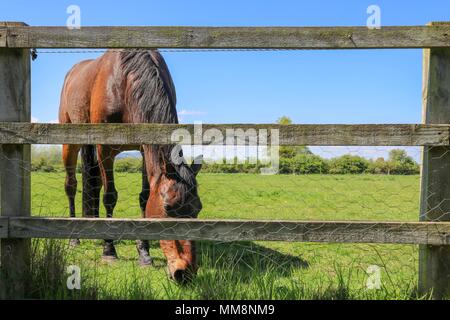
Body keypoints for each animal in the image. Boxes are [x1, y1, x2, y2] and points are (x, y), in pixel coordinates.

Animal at [59, 48, 202, 282]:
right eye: (168, 207)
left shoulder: (145, 149)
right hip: (70, 141)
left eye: (198, 209)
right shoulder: (104, 149)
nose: (185, 273)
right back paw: (74, 238)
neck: (124, 81)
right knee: (71, 185)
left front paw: (144, 253)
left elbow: (144, 198)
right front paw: (109, 251)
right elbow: (110, 197)